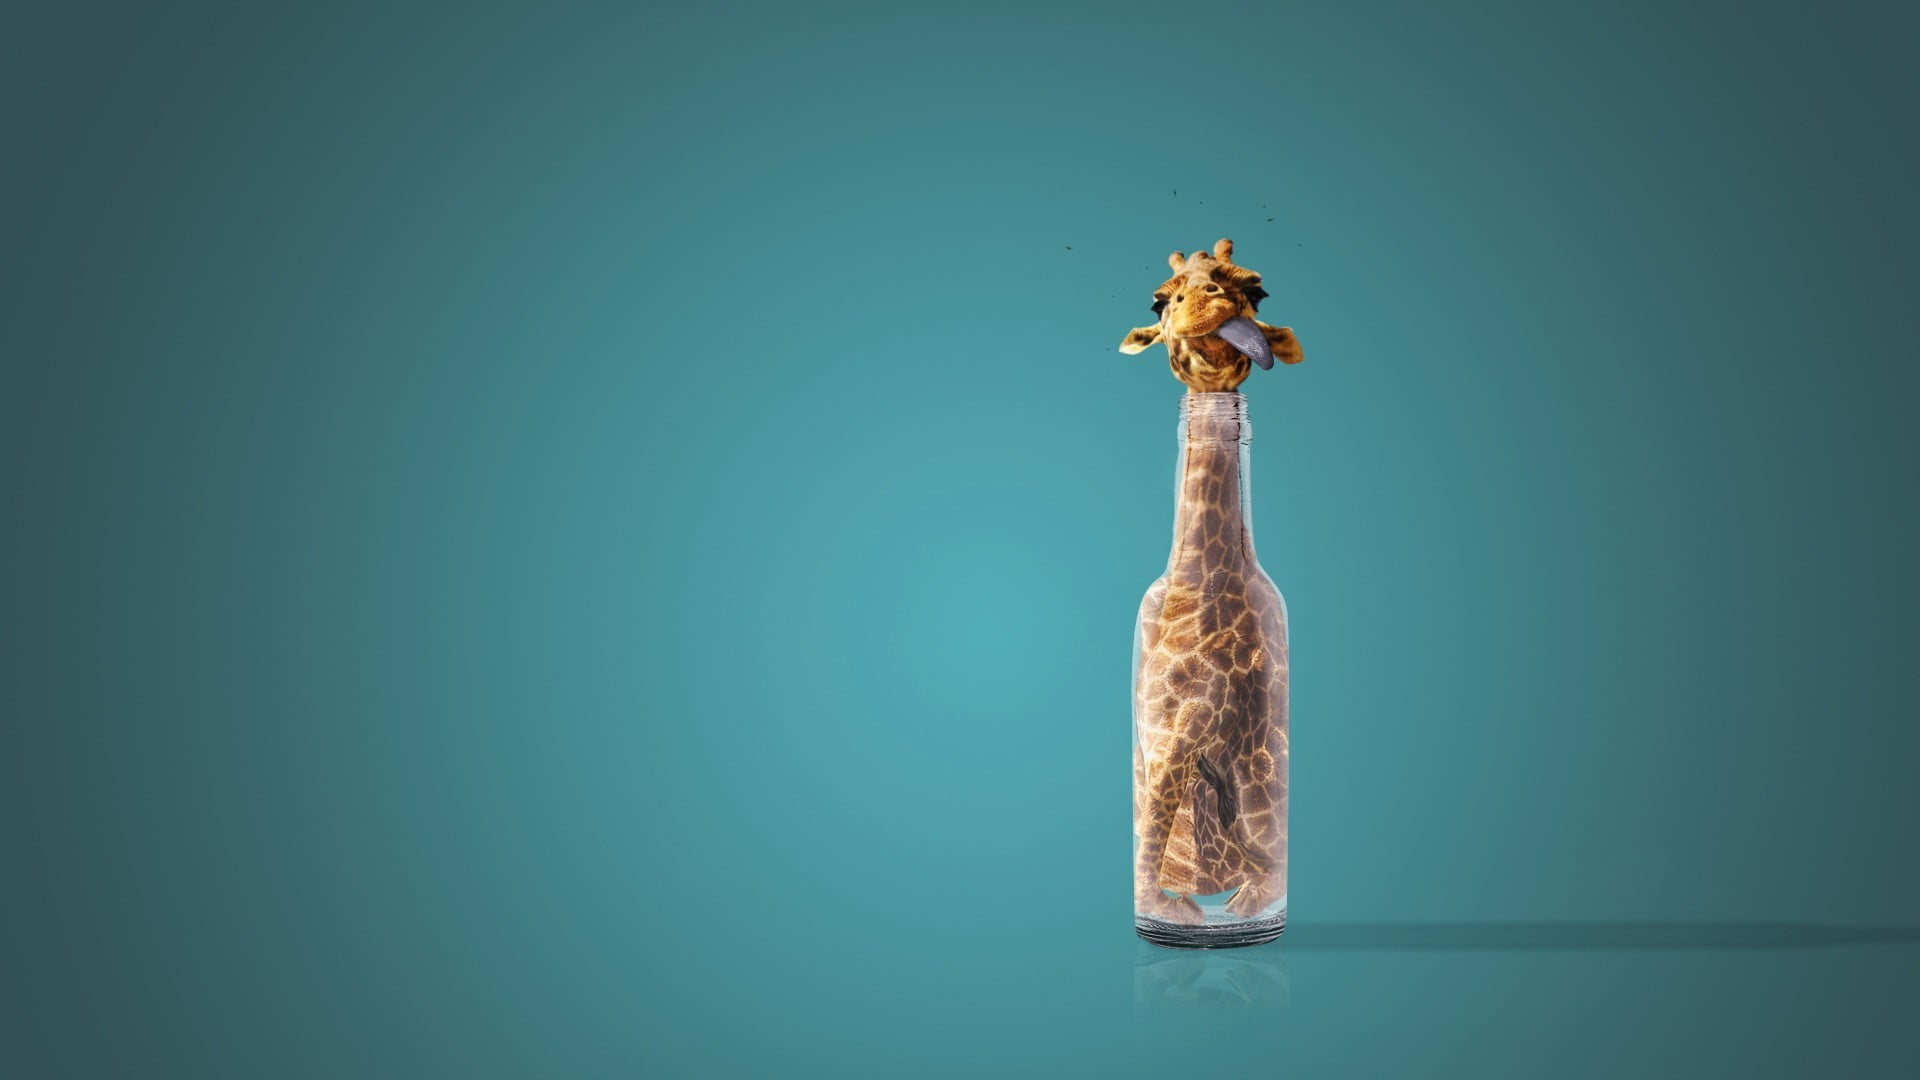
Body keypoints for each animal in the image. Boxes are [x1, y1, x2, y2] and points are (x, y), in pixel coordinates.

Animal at [1123, 239, 1296, 929]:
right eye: (1159, 300)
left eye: (1257, 289)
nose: (1215, 306)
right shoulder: (1160, 724)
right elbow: (1151, 816)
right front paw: (1168, 912)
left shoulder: (1199, 715)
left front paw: (1186, 910)